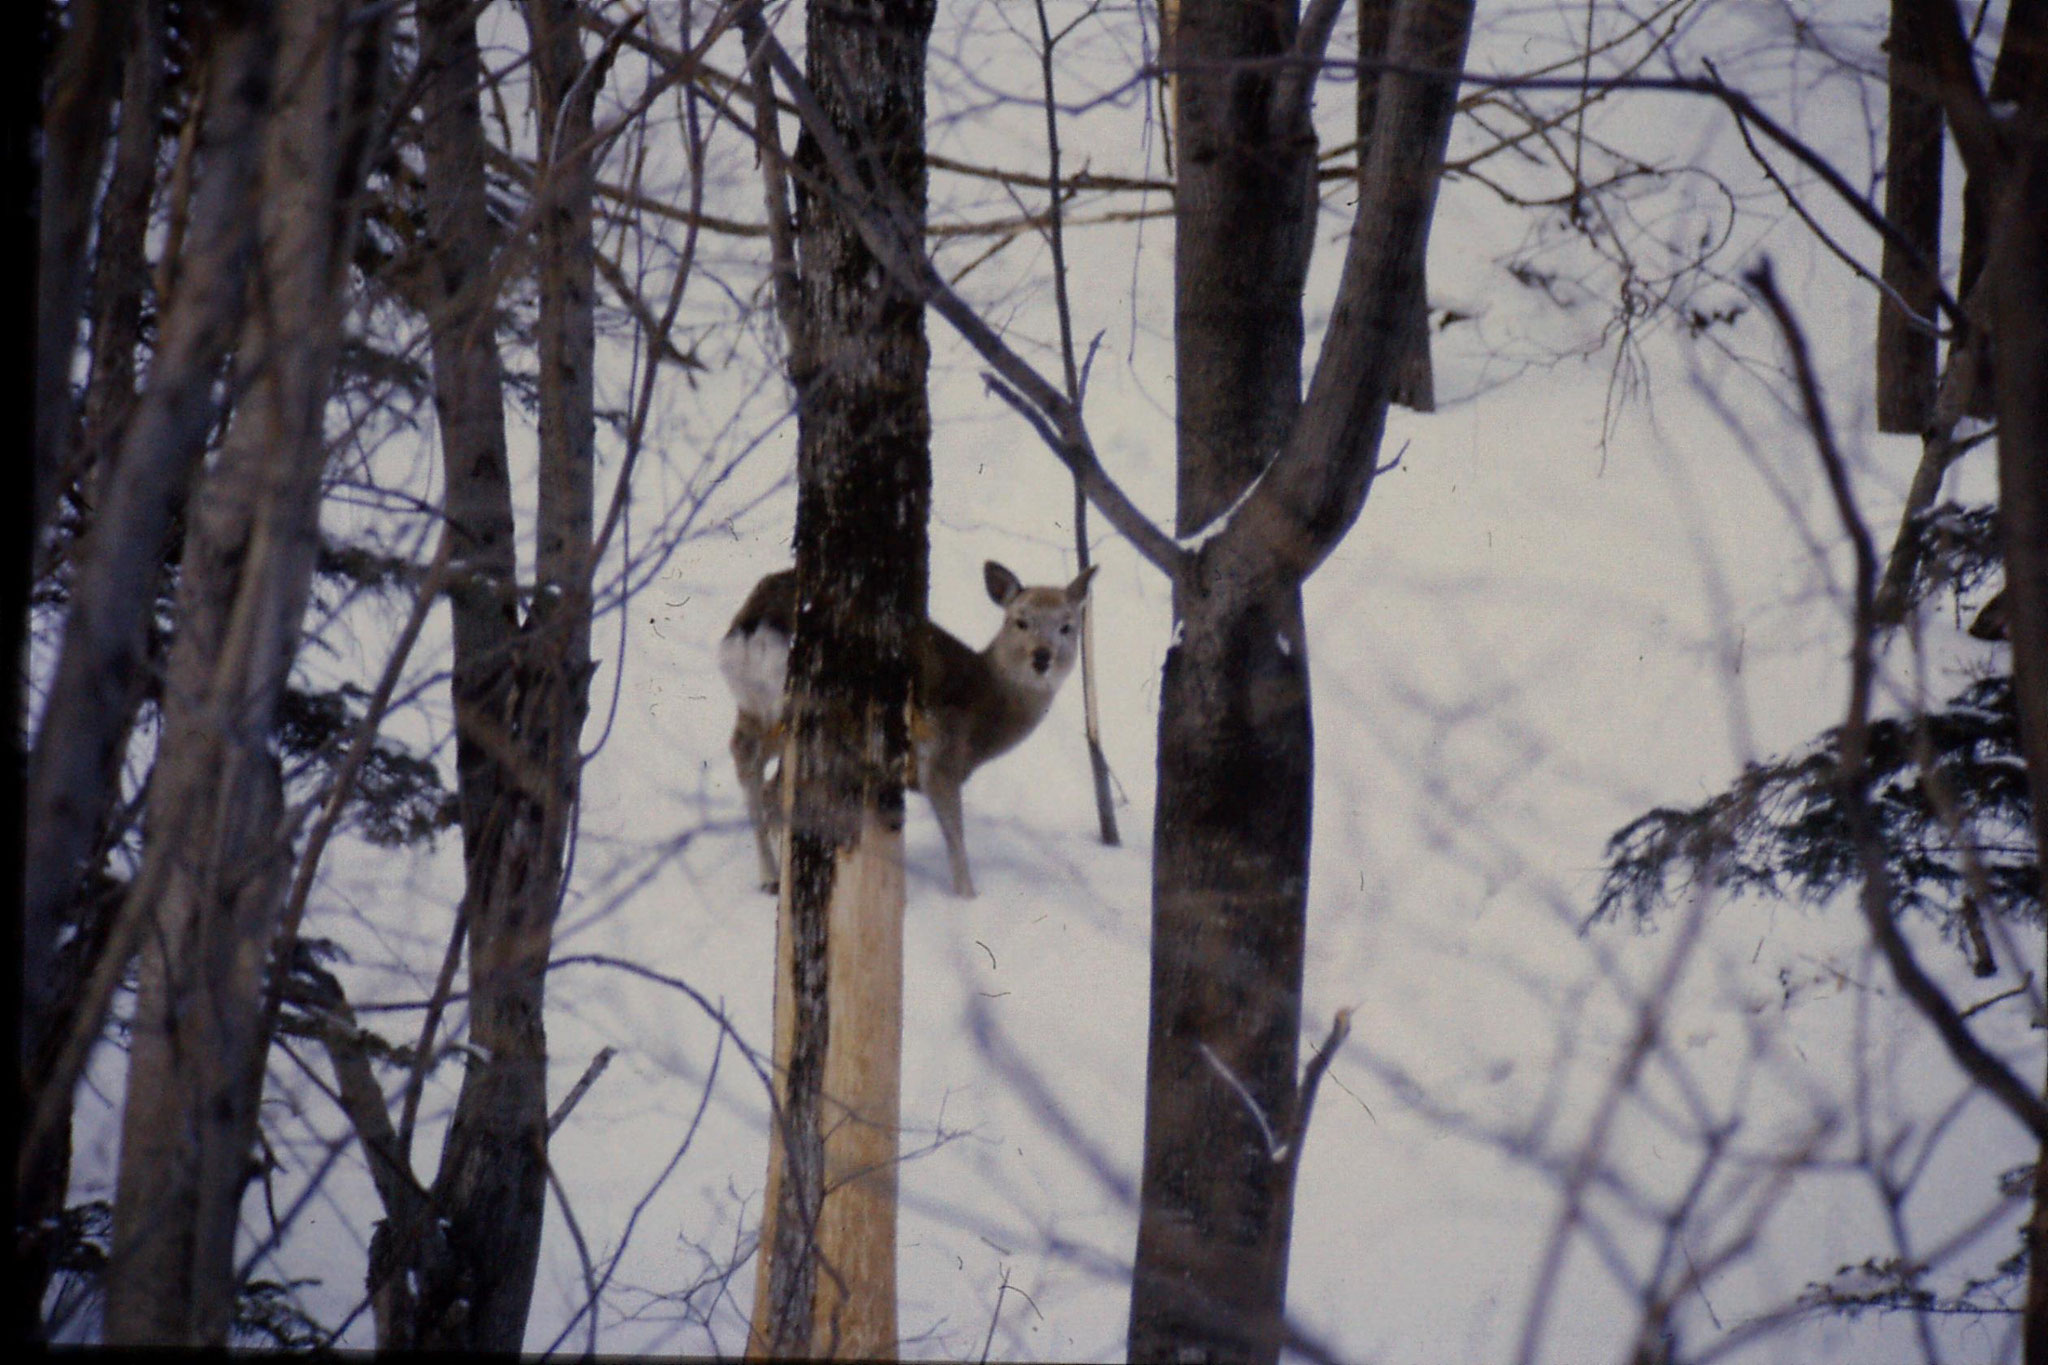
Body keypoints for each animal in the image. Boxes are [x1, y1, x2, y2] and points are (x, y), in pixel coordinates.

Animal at [724, 560, 1105, 900]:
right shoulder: (940, 759)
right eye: (1020, 621)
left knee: (747, 760)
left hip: (757, 711)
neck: (982, 717)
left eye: (1067, 626)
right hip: (818, 713)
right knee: (775, 789)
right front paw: (967, 897)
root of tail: (757, 626)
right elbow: (955, 837)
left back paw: (771, 876)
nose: (1042, 657)